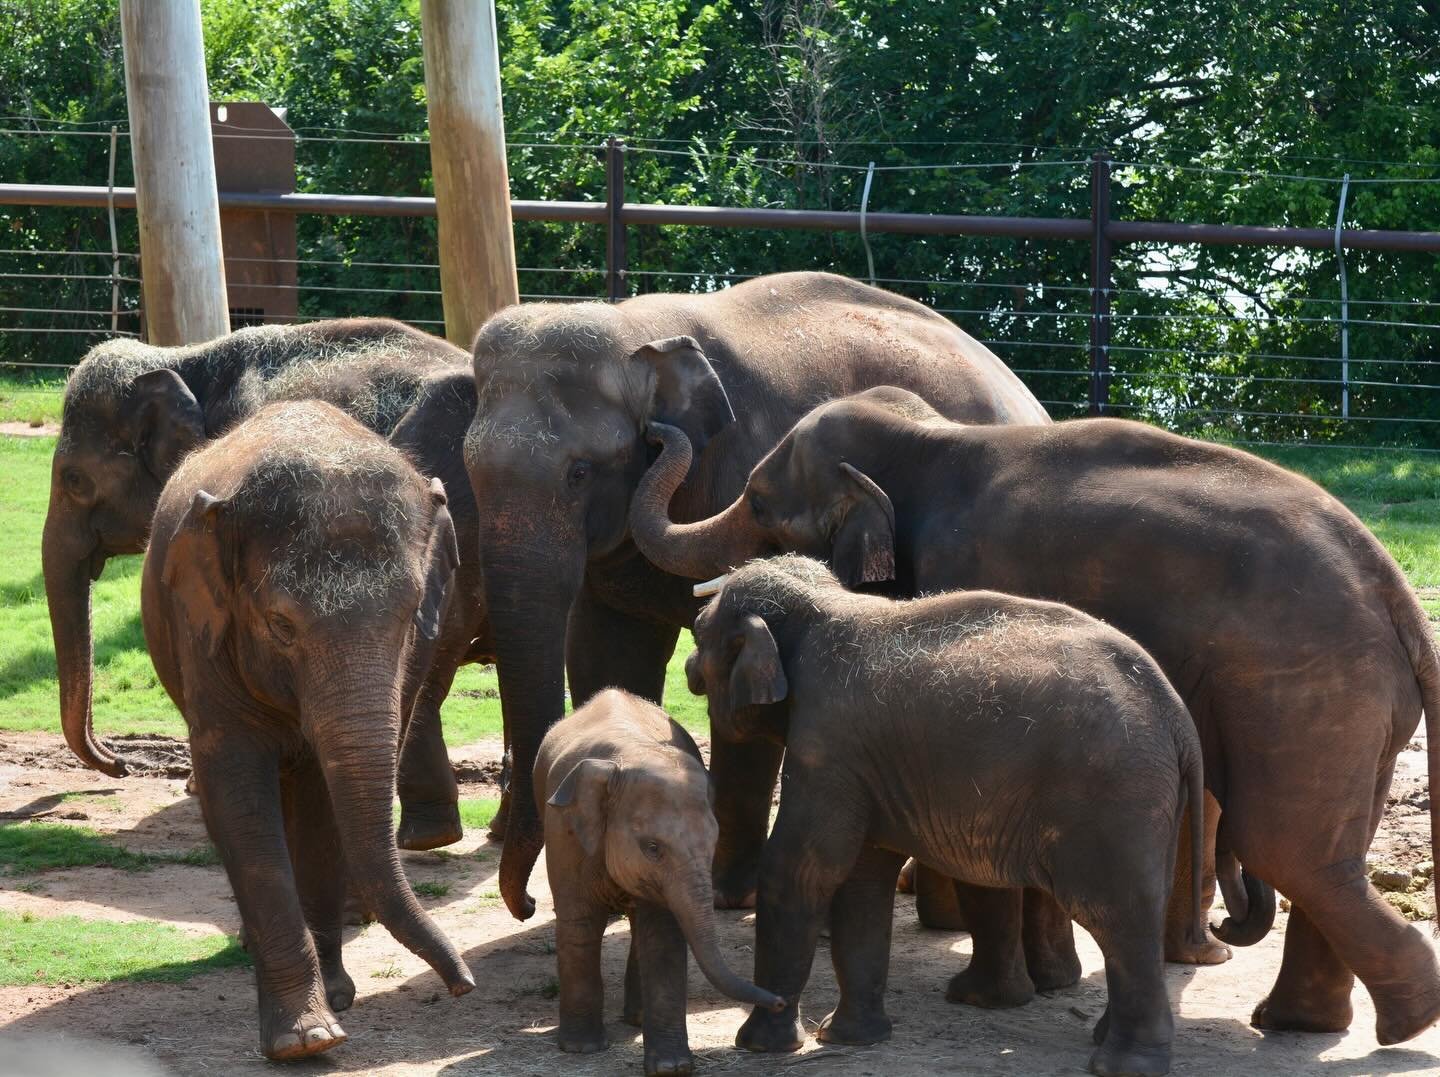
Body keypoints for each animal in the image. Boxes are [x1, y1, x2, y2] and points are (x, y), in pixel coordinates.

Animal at [140, 401, 475, 1060]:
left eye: (409, 617)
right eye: (280, 625)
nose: (464, 985)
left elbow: (324, 805)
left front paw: (335, 1004)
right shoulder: (204, 635)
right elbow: (237, 794)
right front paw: (306, 1040)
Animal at [461, 270, 1051, 922]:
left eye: (579, 473)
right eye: (469, 471)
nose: (526, 905)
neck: (635, 325)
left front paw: (725, 895)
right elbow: (603, 655)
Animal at [536, 687, 783, 1076]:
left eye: (712, 844)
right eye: (652, 848)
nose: (782, 1002)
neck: (630, 754)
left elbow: (663, 933)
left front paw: (671, 1067)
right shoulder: (564, 831)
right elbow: (580, 922)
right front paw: (581, 1050)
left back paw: (636, 1020)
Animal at [685, 555, 1205, 1077]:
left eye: (698, 633)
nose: (688, 667)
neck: (823, 603)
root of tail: (1178, 717)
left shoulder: (826, 743)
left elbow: (801, 870)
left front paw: (760, 1046)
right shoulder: (865, 763)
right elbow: (863, 878)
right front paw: (850, 1039)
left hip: (1112, 796)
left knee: (1115, 914)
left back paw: (1122, 1063)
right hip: (1149, 801)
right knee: (1138, 907)